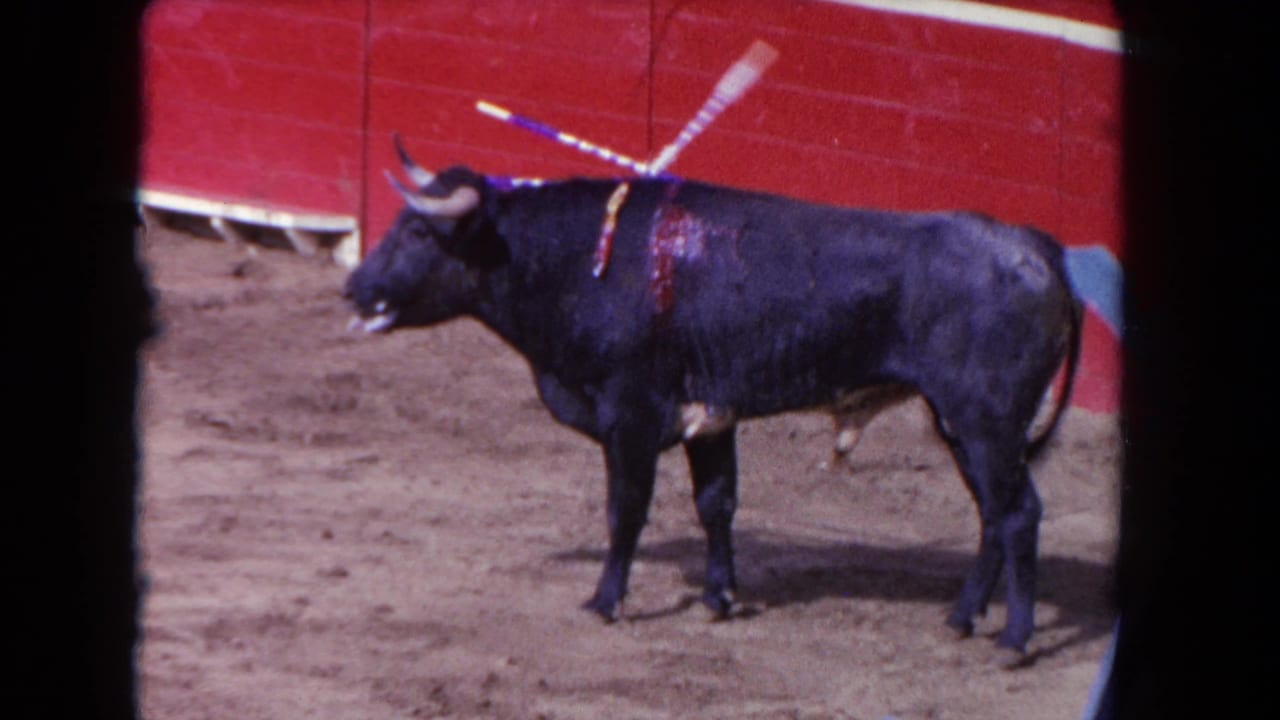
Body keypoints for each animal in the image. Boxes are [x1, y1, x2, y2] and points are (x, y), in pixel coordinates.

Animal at [344, 136, 1083, 666]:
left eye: (419, 233)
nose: (354, 287)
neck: (582, 258)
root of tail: (1032, 245)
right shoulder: (709, 418)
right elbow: (716, 502)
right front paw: (718, 599)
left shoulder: (631, 414)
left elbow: (625, 510)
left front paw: (605, 601)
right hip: (961, 425)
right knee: (992, 515)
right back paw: (960, 619)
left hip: (985, 421)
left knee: (1018, 514)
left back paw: (1014, 641)